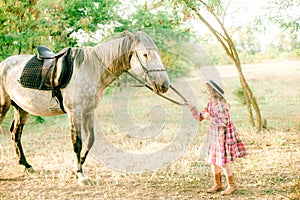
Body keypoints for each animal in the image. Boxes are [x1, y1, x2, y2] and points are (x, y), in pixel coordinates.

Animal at [0, 30, 169, 185]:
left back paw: (26, 166)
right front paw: (81, 175)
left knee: (16, 134)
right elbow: (77, 142)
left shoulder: (88, 111)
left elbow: (90, 140)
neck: (91, 69)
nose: (164, 85)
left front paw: (77, 167)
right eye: (145, 54)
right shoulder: (75, 112)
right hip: (3, 106)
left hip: (21, 109)